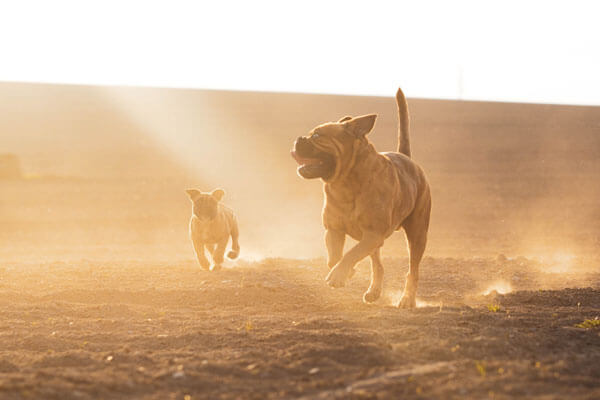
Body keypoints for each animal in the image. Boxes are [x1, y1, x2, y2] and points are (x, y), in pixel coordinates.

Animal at [290, 86, 432, 306]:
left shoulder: (373, 234)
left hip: (417, 234)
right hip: (377, 241)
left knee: (413, 270)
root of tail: (407, 158)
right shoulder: (334, 230)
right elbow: (334, 257)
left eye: (317, 136)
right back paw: (374, 291)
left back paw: (407, 299)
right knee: (378, 265)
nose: (299, 139)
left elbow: (351, 253)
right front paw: (345, 272)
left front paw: (338, 275)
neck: (345, 183)